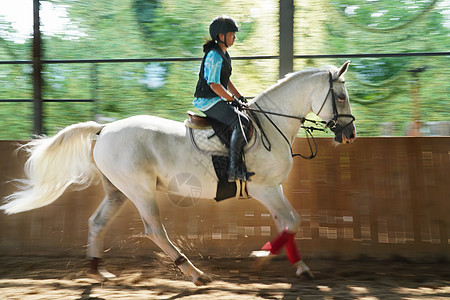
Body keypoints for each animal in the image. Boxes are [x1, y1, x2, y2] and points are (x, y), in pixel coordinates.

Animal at [2, 61, 356, 286]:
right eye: (340, 97)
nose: (350, 133)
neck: (272, 123)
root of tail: (103, 130)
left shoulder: (274, 190)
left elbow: (288, 223)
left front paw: (300, 267)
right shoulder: (264, 189)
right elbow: (292, 221)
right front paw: (260, 255)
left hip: (117, 191)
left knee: (97, 223)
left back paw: (98, 272)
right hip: (140, 190)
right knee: (155, 230)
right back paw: (195, 273)